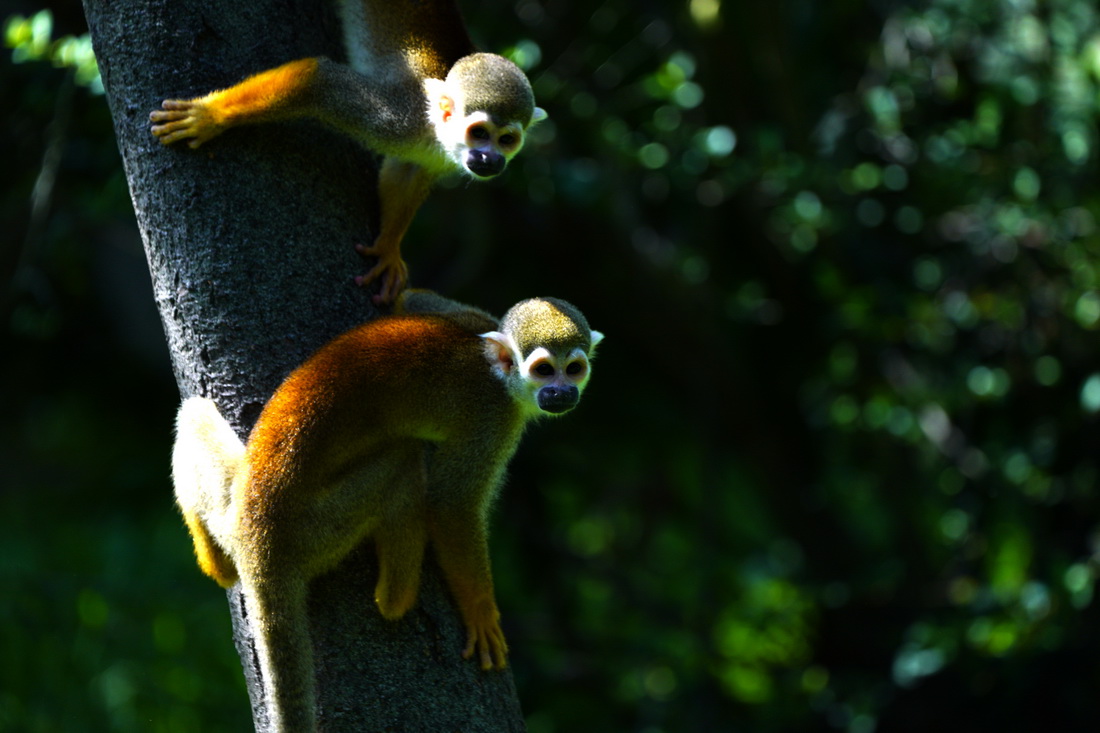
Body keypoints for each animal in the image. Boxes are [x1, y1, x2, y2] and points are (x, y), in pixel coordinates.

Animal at [148, 0, 543, 301]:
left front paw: (388, 248)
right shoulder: (398, 117)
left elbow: (408, 169)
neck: (434, 129)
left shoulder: (428, 149)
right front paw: (212, 114)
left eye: (507, 140)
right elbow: (319, 80)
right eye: (479, 133)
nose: (489, 159)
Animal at [170, 290, 602, 730]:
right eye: (544, 370)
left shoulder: (476, 320)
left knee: (193, 410)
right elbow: (451, 503)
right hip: (315, 528)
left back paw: (211, 554)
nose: (562, 393)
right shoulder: (493, 419)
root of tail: (258, 535)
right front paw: (481, 612)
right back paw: (396, 598)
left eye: (574, 369)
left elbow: (414, 300)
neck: (500, 374)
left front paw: (394, 277)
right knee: (404, 458)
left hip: (235, 503)